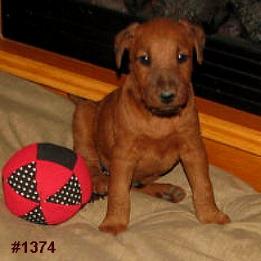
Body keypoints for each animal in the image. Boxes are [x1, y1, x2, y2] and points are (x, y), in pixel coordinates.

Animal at [72, 17, 229, 234]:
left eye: (181, 57)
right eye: (144, 59)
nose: (167, 96)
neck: (160, 119)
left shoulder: (193, 148)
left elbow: (203, 184)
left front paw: (211, 215)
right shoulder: (124, 155)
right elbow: (119, 192)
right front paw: (114, 223)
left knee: (137, 185)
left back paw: (166, 191)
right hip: (84, 114)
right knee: (91, 160)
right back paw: (101, 181)